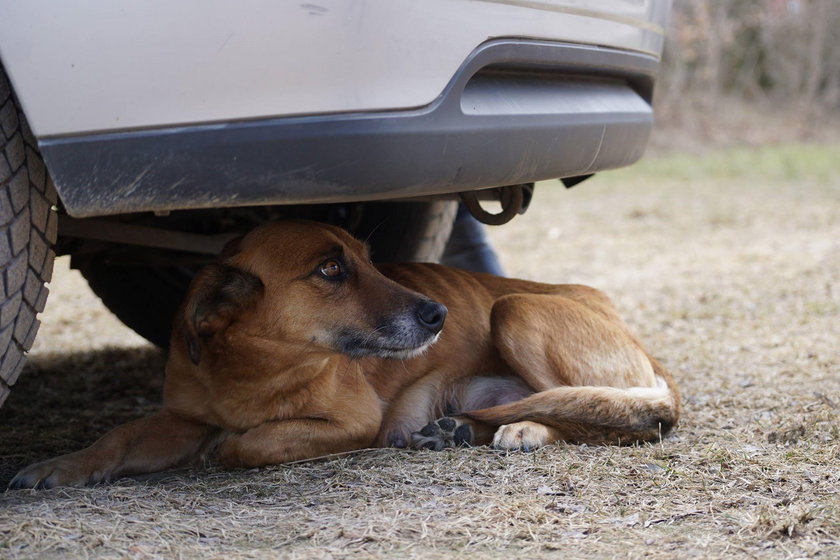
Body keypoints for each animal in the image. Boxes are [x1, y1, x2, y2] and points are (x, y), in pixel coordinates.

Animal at [9, 221, 680, 488]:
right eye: (331, 269)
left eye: (368, 258)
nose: (438, 314)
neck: (253, 368)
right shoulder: (179, 416)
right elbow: (117, 437)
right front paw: (61, 466)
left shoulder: (352, 422)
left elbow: (248, 443)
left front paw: (225, 446)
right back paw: (461, 429)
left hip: (513, 310)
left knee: (611, 415)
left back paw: (524, 431)